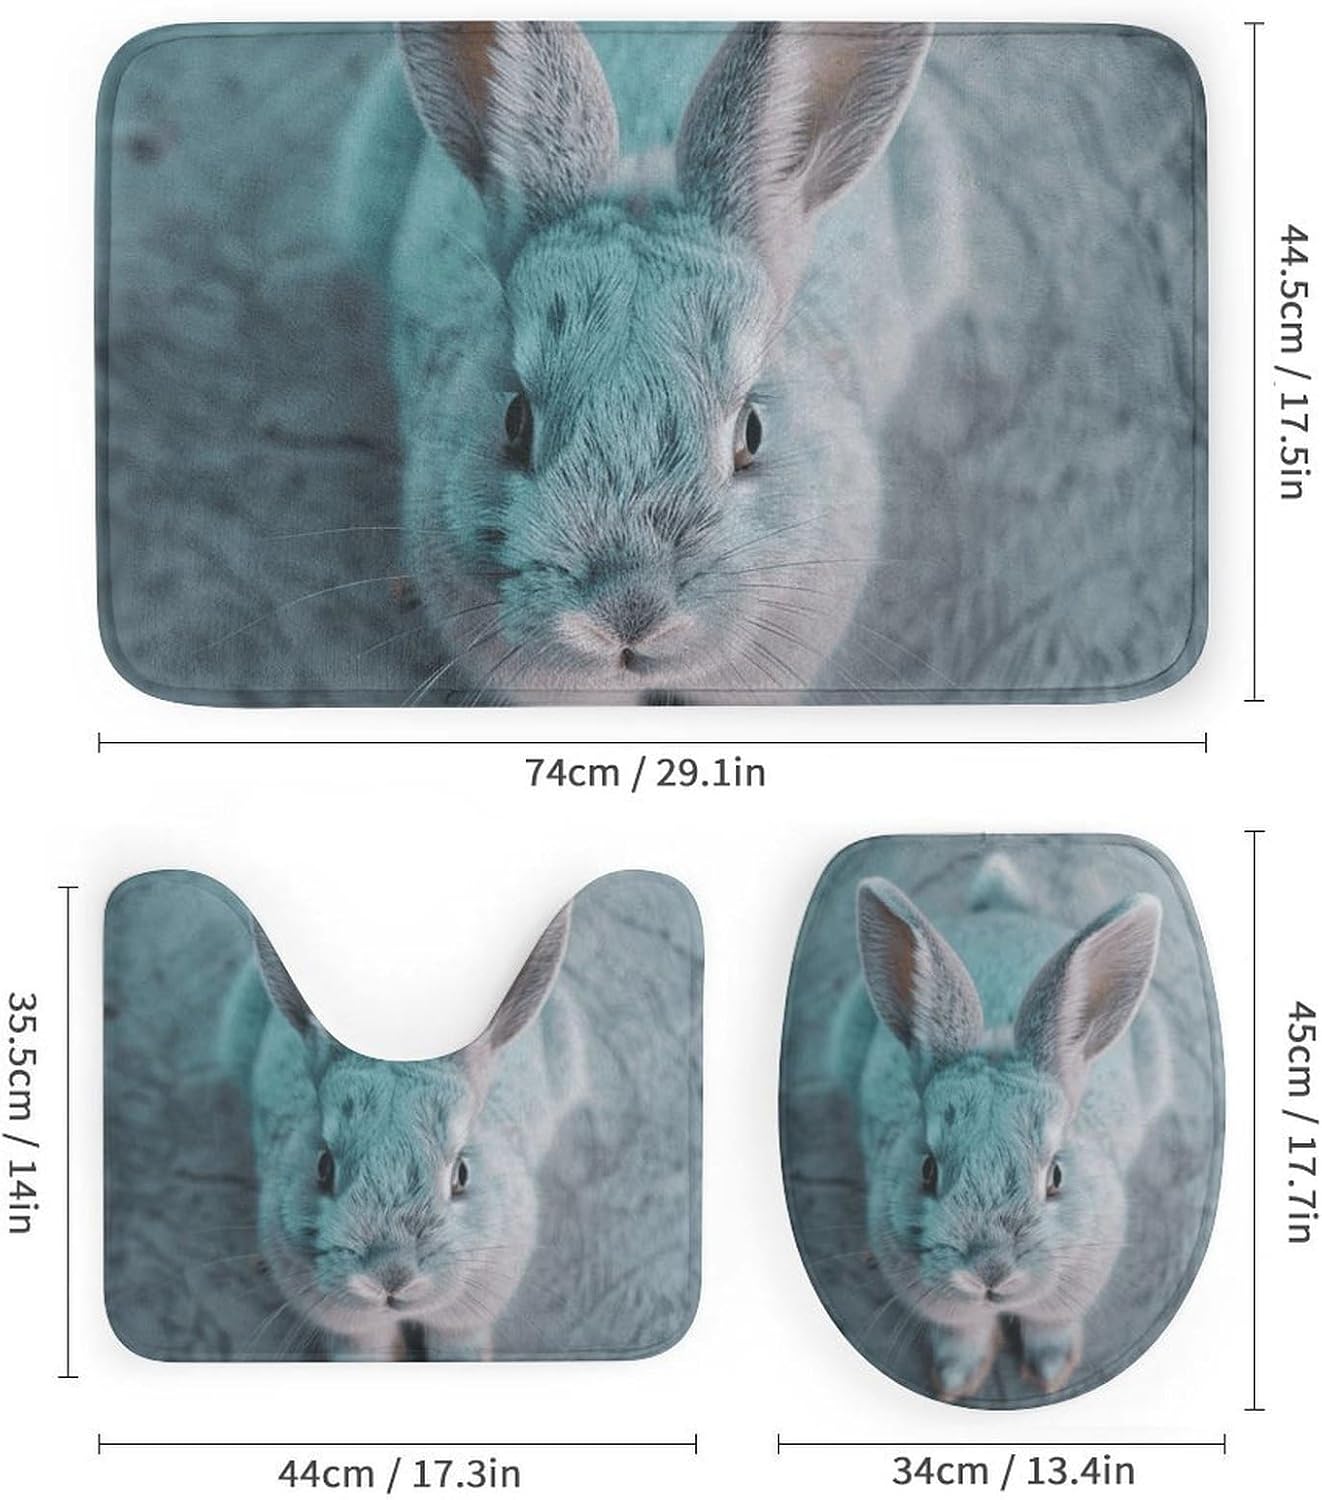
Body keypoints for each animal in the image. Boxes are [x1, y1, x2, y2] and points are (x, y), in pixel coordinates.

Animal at [828, 854, 1172, 1400]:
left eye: (1056, 1176)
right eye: (928, 1170)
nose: (990, 1271)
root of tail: (1000, 908)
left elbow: (1051, 1325)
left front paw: (1050, 1373)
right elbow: (962, 1332)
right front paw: (955, 1381)